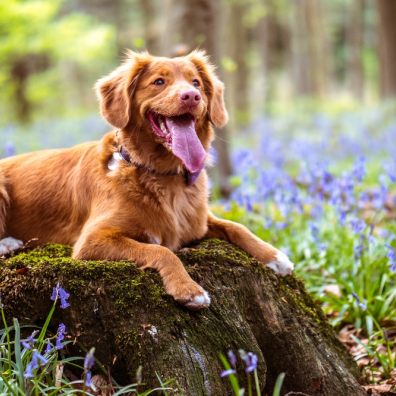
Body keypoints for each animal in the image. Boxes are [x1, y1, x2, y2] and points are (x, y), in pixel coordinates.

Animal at [0, 50, 294, 310]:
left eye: (196, 82)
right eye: (159, 81)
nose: (192, 96)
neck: (163, 176)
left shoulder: (196, 222)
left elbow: (236, 226)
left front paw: (275, 256)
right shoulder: (92, 240)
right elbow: (162, 251)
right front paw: (189, 289)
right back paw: (8, 243)